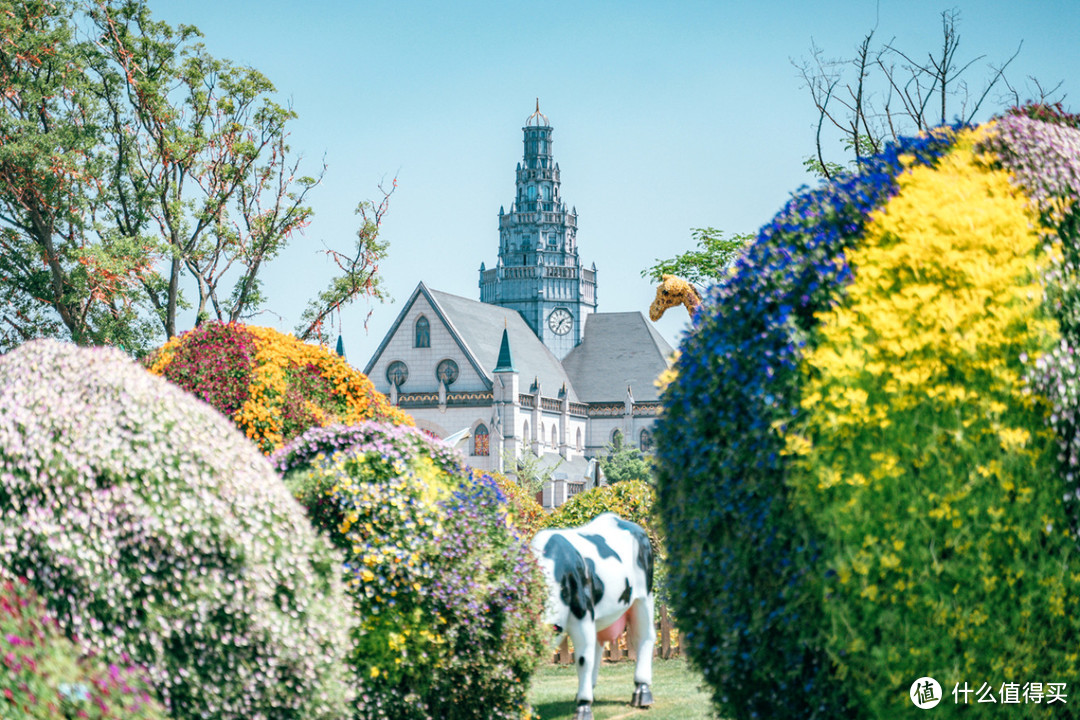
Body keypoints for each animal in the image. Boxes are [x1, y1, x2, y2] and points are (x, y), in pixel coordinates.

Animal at [531, 511, 656, 720]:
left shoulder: (583, 615)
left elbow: (583, 659)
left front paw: (583, 707)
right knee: (598, 646)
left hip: (643, 598)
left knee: (644, 637)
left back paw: (642, 692)